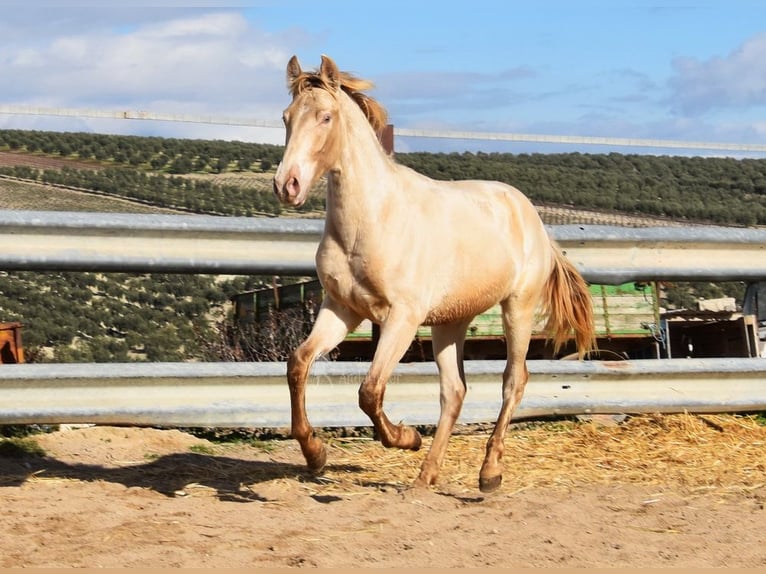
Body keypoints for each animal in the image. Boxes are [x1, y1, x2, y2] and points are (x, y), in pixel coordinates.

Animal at [272, 55, 596, 496]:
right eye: (286, 117)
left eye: (325, 116)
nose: (287, 185)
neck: (370, 222)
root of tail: (532, 218)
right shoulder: (342, 310)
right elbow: (299, 363)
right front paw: (315, 454)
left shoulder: (402, 318)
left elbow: (369, 391)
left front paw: (405, 438)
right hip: (450, 321)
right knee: (454, 392)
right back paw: (426, 476)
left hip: (518, 308)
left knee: (513, 380)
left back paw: (488, 473)